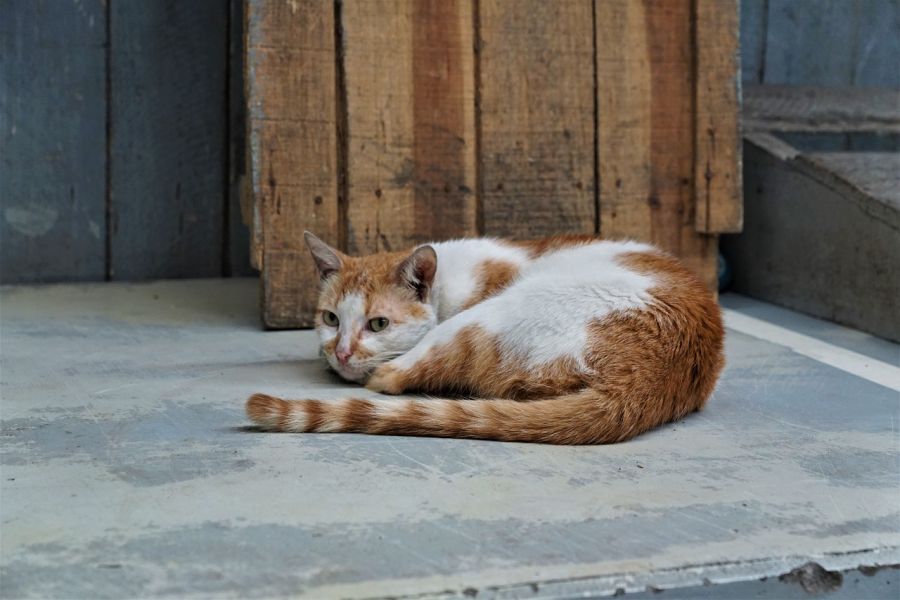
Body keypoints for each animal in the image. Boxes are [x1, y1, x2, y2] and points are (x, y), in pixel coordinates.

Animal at [246, 232, 724, 442]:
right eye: (330, 319)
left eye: (378, 324)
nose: (342, 353)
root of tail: (643, 381)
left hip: (489, 316)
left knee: (396, 378)